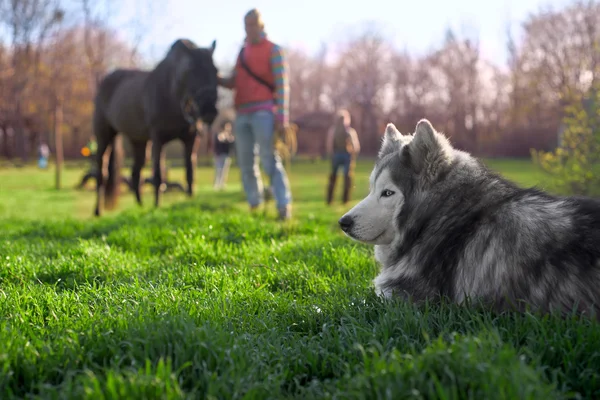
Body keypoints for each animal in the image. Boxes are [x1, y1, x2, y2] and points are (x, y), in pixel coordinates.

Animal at [91, 38, 218, 216]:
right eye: (191, 71)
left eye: (215, 71)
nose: (209, 111)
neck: (172, 96)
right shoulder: (158, 139)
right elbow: (158, 175)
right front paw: (157, 206)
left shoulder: (190, 140)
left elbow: (190, 172)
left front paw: (190, 201)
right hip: (104, 135)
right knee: (101, 173)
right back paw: (98, 211)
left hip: (138, 141)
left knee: (135, 173)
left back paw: (140, 206)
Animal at [338, 118, 600, 318]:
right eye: (372, 188)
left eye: (388, 193)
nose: (343, 222)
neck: (443, 214)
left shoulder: (405, 298)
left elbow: (356, 301)